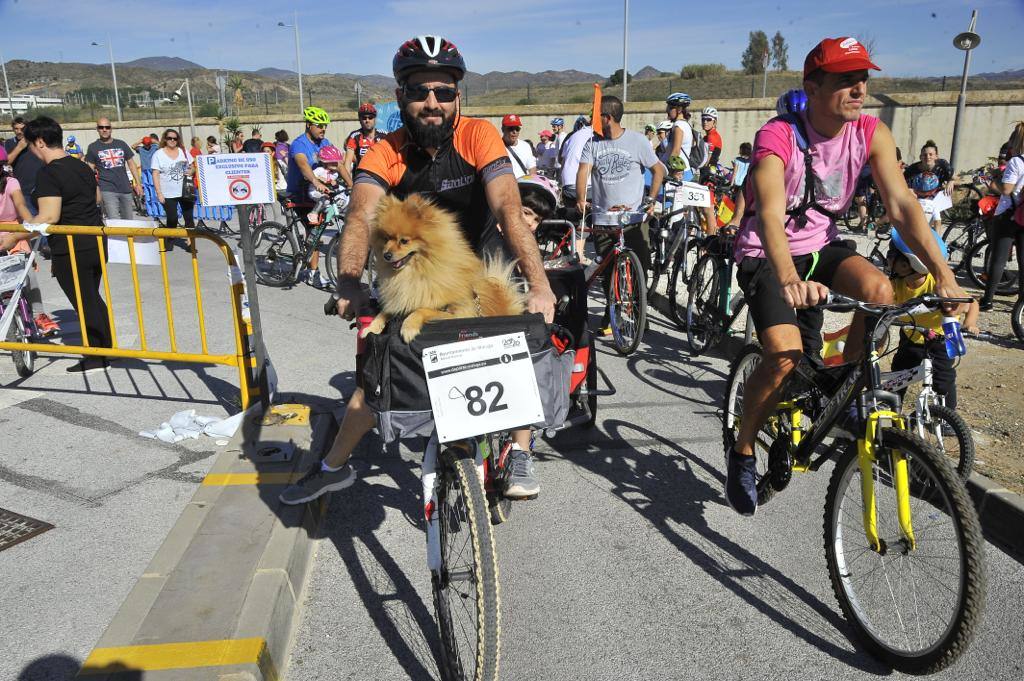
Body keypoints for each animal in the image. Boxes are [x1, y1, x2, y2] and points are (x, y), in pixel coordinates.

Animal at [362, 192, 524, 342]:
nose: (386, 255)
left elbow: (421, 310)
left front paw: (408, 327)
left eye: (404, 241)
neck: (416, 272)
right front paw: (371, 328)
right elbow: (384, 312)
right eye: (386, 239)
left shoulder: (456, 314)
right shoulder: (403, 299)